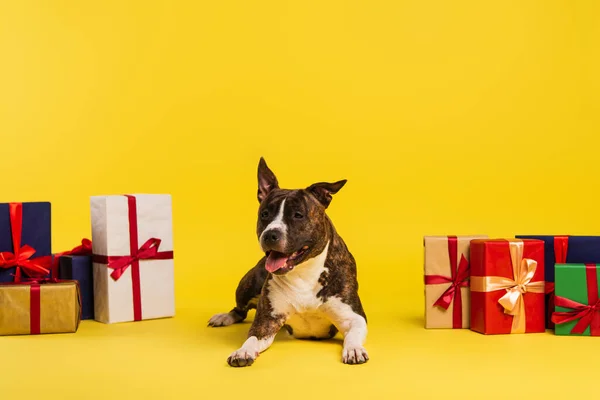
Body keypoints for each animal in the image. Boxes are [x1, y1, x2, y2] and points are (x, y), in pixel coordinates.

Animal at [211, 158, 370, 368]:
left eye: (298, 215)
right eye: (265, 214)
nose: (270, 234)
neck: (304, 273)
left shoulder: (352, 316)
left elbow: (353, 334)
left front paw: (354, 349)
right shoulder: (267, 320)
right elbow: (252, 337)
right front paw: (243, 351)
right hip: (247, 285)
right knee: (240, 310)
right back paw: (224, 317)